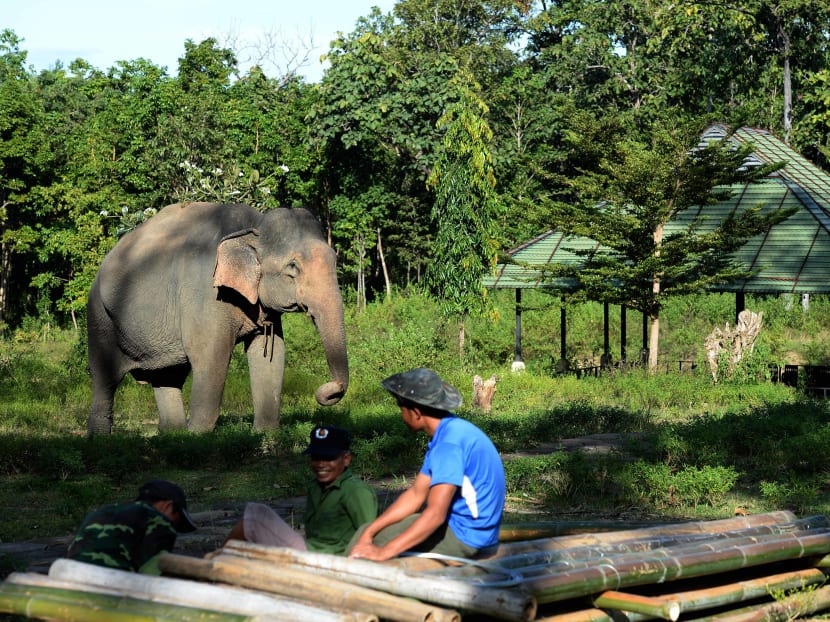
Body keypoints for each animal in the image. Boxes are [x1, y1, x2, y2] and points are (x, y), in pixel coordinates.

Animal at [86, 202, 348, 435]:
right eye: (293, 267)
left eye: (335, 260)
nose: (328, 389)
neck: (254, 224)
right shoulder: (204, 294)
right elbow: (210, 354)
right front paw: (198, 436)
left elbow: (270, 355)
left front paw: (267, 434)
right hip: (100, 316)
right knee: (104, 378)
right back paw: (101, 439)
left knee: (168, 376)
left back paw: (173, 435)